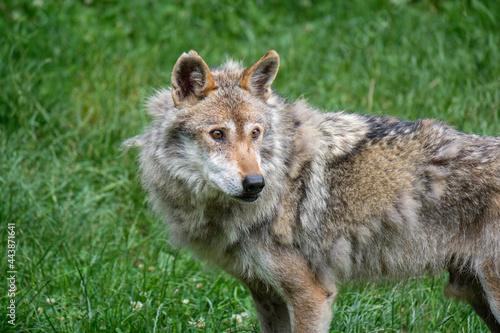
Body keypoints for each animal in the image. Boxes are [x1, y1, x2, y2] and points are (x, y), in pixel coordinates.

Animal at [124, 50, 500, 332]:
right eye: (218, 134)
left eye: (256, 133)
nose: (255, 184)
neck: (281, 175)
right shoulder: (266, 294)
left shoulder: (311, 294)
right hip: (478, 298)